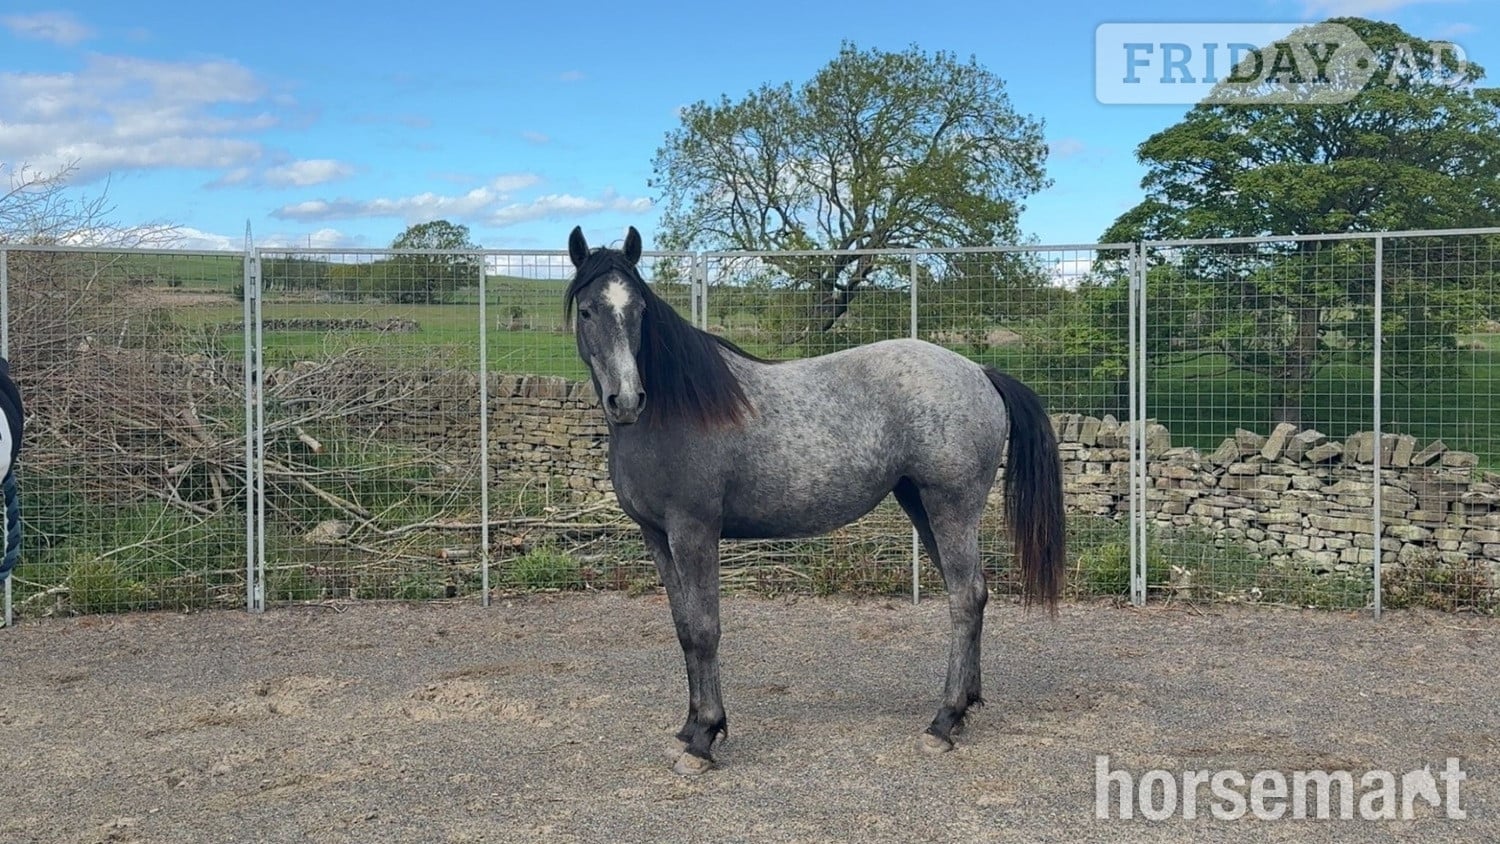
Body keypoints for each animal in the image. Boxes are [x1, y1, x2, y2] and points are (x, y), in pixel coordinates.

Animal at [564, 226, 1066, 776]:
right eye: (587, 310)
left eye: (638, 310)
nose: (626, 400)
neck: (674, 411)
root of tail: (979, 372)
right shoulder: (656, 536)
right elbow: (682, 629)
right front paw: (688, 727)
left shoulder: (693, 533)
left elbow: (704, 628)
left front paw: (704, 738)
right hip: (922, 506)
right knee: (974, 595)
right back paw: (965, 707)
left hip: (950, 508)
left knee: (965, 598)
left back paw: (942, 722)